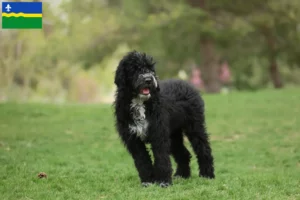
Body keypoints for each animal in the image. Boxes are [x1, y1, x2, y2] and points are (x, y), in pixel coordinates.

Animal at [113, 50, 214, 188]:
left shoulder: (158, 134)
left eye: (150, 68)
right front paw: (148, 181)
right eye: (135, 69)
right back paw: (182, 175)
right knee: (184, 154)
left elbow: (161, 159)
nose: (149, 79)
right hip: (174, 135)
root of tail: (187, 83)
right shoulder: (133, 139)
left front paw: (163, 181)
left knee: (204, 149)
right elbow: (142, 160)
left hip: (195, 126)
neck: (140, 103)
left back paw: (207, 175)